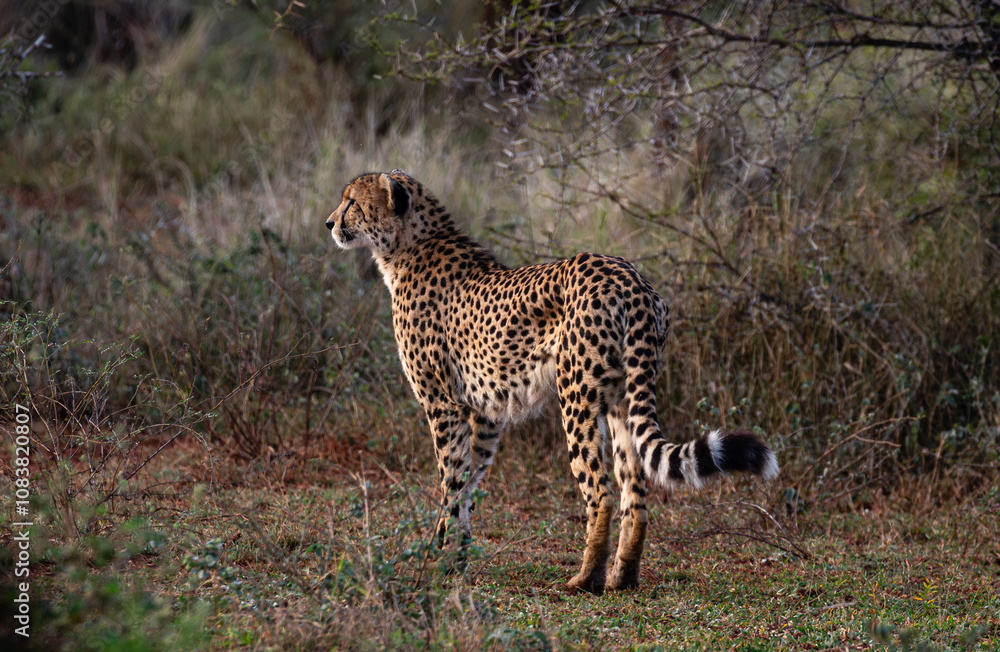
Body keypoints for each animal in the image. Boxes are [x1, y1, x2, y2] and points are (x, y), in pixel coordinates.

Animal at [326, 169, 778, 595]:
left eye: (352, 202)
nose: (330, 222)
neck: (407, 247)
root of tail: (629, 275)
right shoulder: (484, 414)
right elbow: (469, 483)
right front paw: (455, 555)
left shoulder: (443, 404)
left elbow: (451, 483)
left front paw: (440, 559)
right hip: (622, 399)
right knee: (635, 492)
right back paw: (622, 577)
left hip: (575, 396)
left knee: (601, 492)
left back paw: (585, 579)